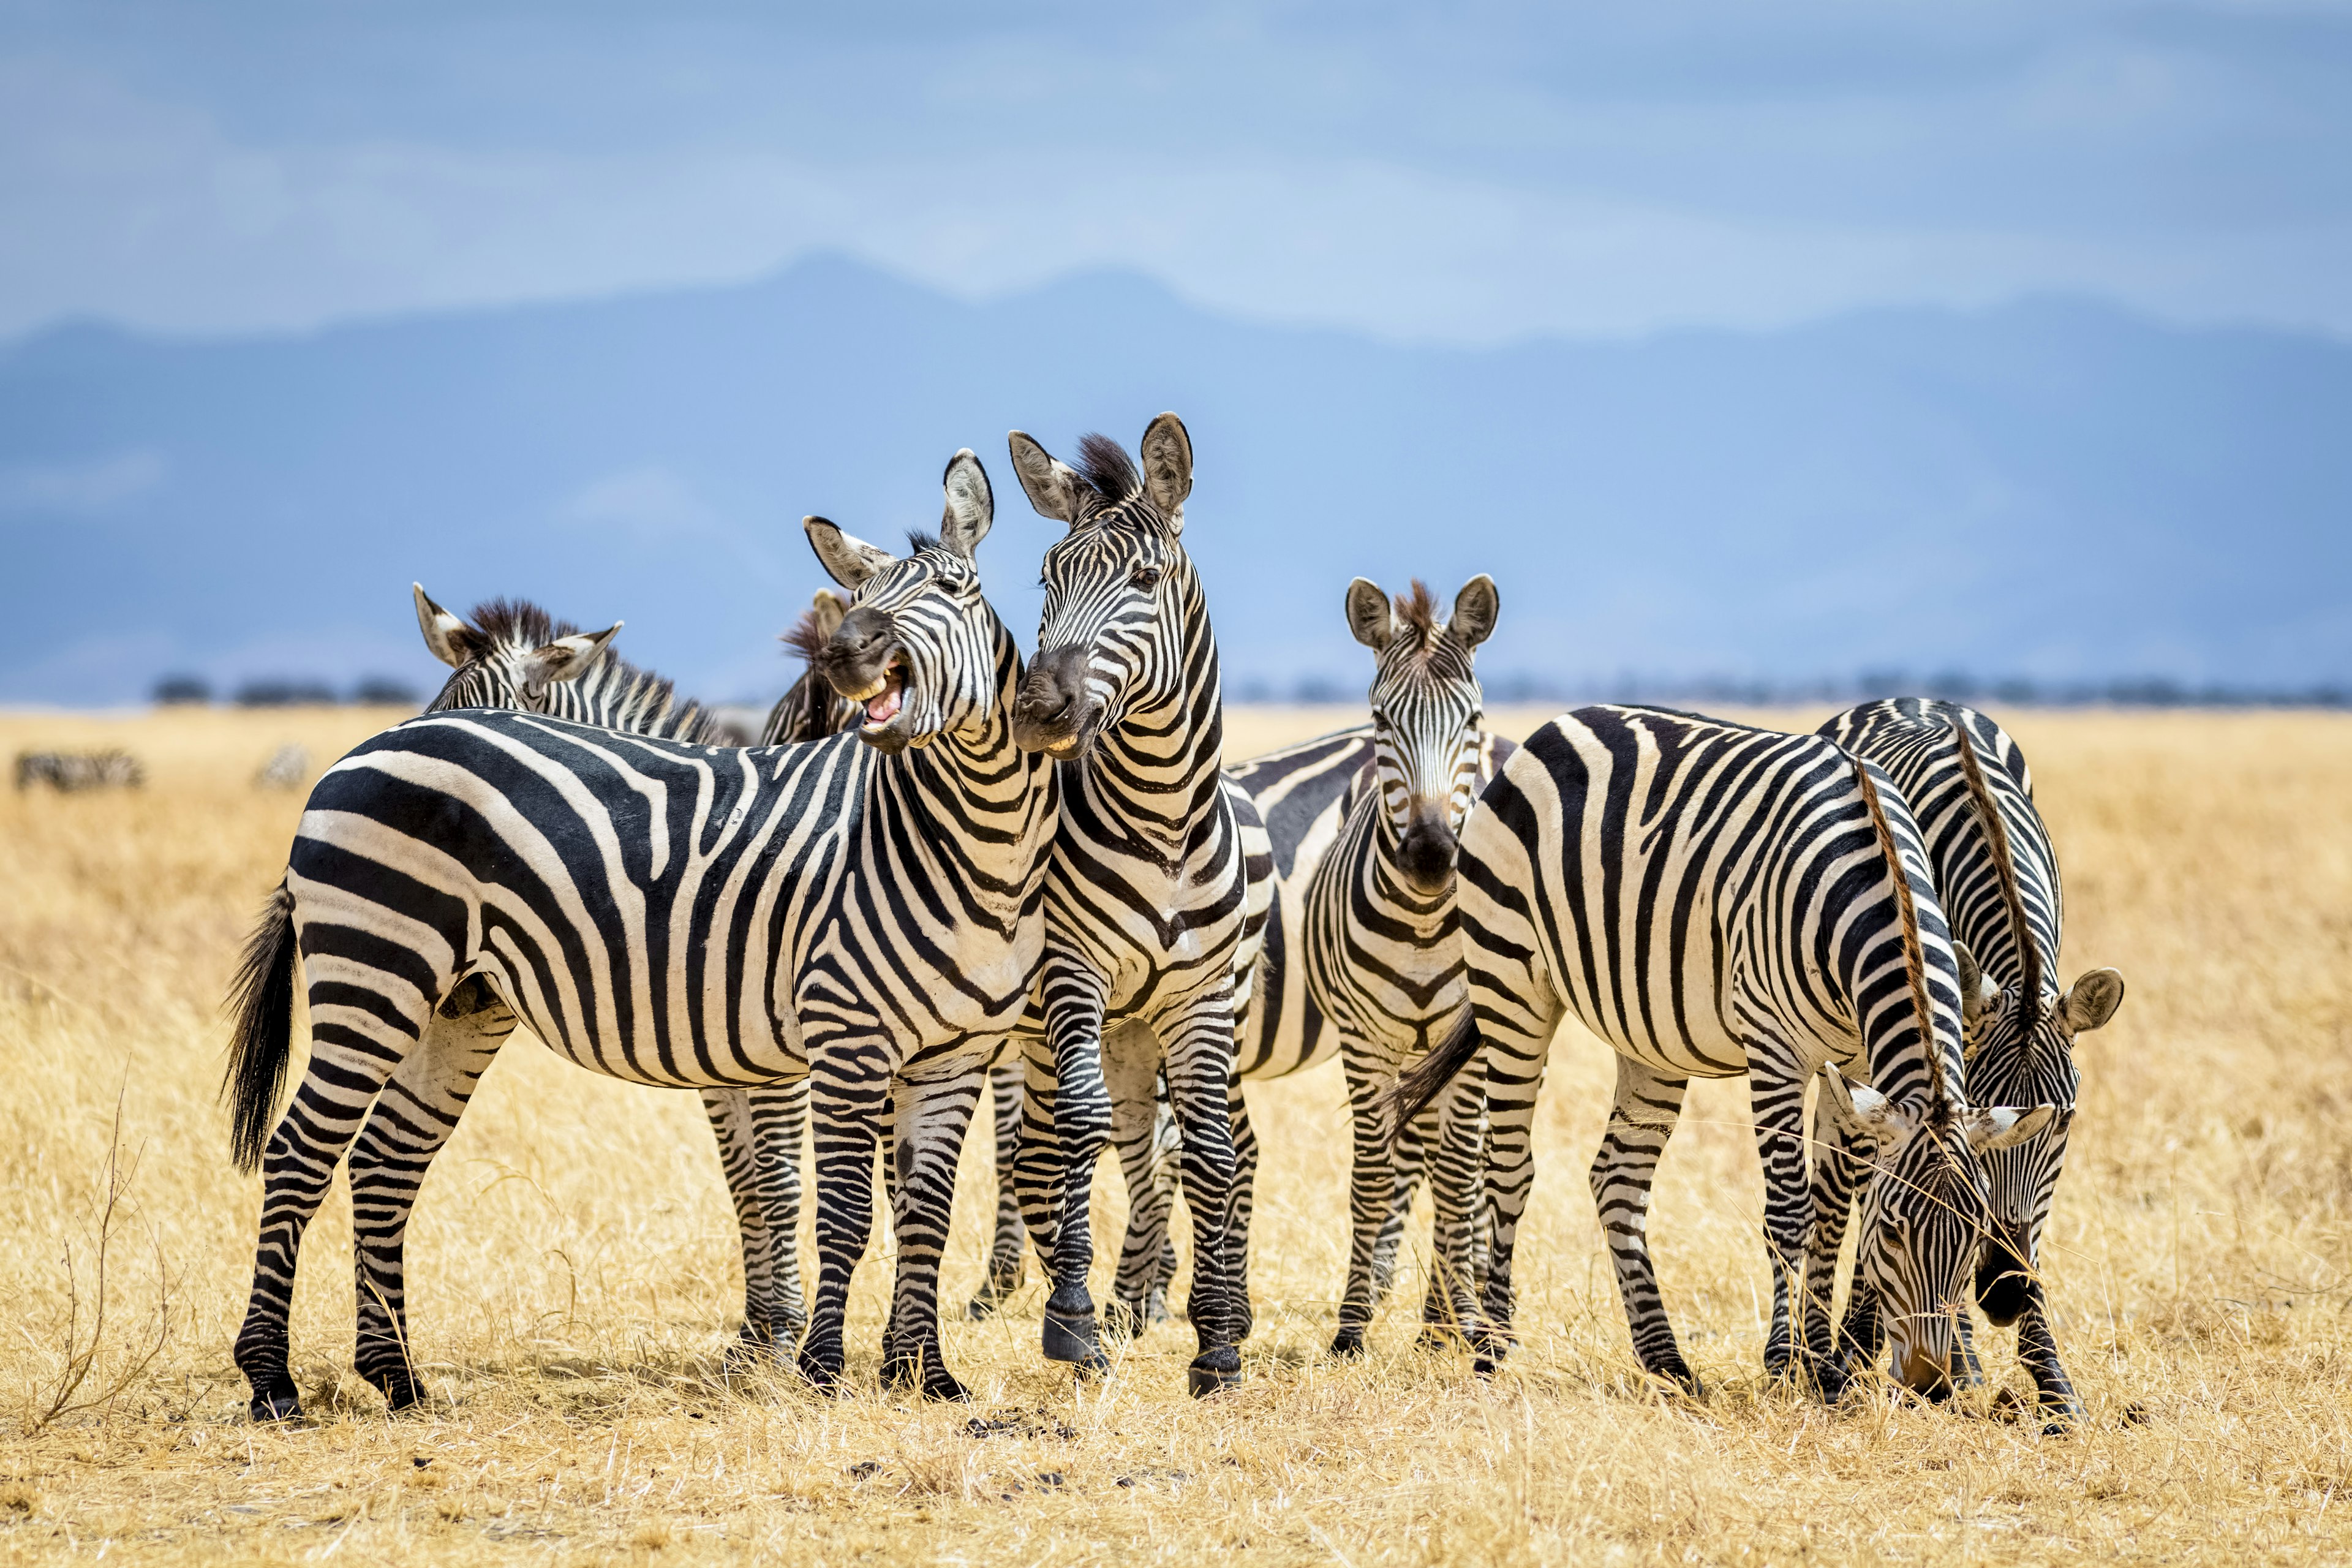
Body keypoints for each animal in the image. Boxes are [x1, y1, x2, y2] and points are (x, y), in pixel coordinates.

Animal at [222, 447, 1058, 1420]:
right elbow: (825, 1200)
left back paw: (396, 1375)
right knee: (299, 1154)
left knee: (385, 1162)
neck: (972, 838)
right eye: (860, 595)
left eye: (957, 588)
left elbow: (916, 1207)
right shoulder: (836, 1040)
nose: (850, 653)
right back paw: (272, 1379)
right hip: (375, 973)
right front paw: (810, 1362)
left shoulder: (947, 1052)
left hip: (456, 1003)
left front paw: (920, 1372)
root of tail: (356, 754)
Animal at [1006, 416, 1270, 1401]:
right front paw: (1074, 1322)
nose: (1039, 712)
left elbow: (1211, 1150)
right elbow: (1078, 1133)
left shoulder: (1198, 998)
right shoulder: (1071, 974)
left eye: (1146, 582)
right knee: (1065, 1145)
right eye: (1047, 579)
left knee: (1153, 1146)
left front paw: (1219, 1342)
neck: (1162, 820)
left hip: (1149, 1025)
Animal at [1308, 576, 1505, 1363]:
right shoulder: (1364, 1042)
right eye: (1382, 720)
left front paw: (1468, 1324)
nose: (1430, 856)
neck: (1423, 922)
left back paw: (1454, 1312)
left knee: (1481, 1169)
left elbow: (1457, 1179)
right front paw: (1352, 1324)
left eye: (1473, 717)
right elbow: (1372, 1174)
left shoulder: (1474, 1045)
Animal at [1392, 710, 2060, 1401]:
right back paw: (1492, 1349)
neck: (1878, 884)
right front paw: (1790, 1363)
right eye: (1893, 1231)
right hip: (1512, 983)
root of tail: (1556, 727)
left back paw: (1666, 1360)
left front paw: (1824, 1367)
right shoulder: (1775, 1049)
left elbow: (1830, 1210)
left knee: (1618, 1179)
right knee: (1508, 1166)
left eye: (1974, 1235)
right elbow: (1792, 1210)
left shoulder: (1853, 1065)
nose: (1931, 1385)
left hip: (1649, 1035)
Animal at [1796, 700, 2135, 1420]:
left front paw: (2055, 1387)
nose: (2003, 1293)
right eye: (1984, 1098)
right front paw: (1948, 1361)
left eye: (2065, 1120)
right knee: (1851, 1188)